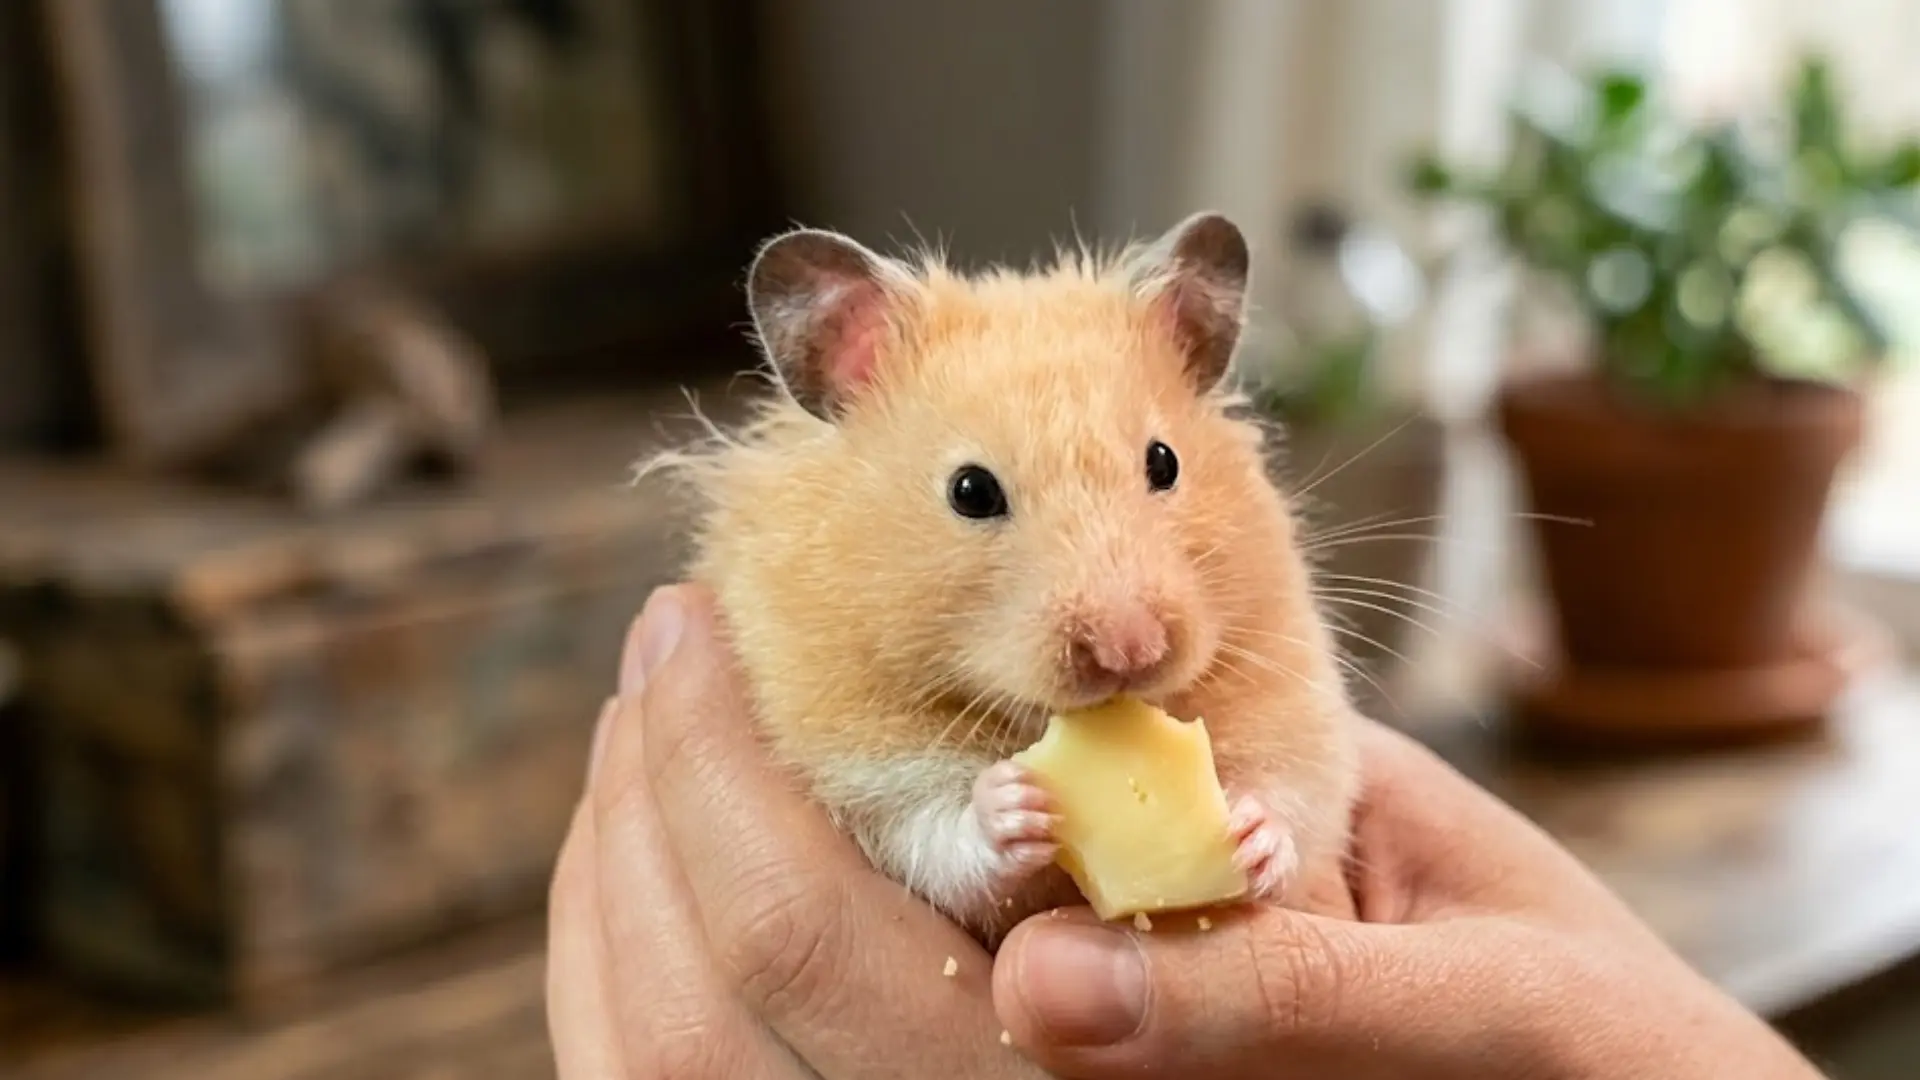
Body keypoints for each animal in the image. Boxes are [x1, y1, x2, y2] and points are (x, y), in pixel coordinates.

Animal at [642, 211, 1361, 946]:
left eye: (1165, 462)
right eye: (971, 491)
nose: (1130, 650)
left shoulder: (1299, 700)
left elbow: (1300, 793)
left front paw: (1251, 832)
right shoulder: (852, 759)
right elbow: (931, 836)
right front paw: (1010, 806)